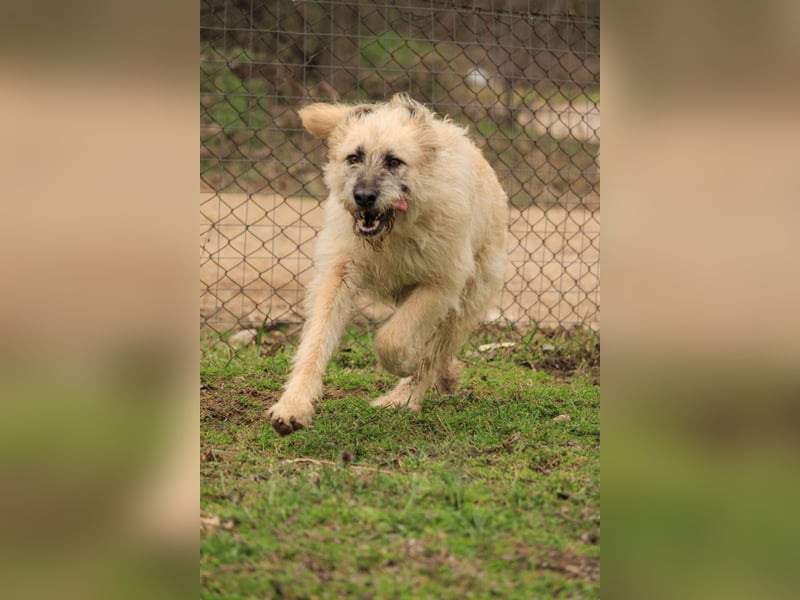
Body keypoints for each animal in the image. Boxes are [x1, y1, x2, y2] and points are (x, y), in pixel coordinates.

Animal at [267, 93, 508, 435]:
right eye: (354, 157)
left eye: (394, 161)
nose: (363, 197)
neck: (392, 233)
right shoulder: (337, 276)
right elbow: (315, 342)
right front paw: (293, 406)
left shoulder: (441, 285)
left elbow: (391, 338)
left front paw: (405, 363)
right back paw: (446, 376)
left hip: (468, 298)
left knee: (437, 348)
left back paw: (402, 398)